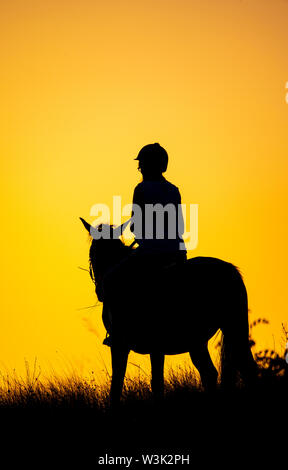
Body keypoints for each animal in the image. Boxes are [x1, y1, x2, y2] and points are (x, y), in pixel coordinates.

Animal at [80, 218, 255, 404]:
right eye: (93, 254)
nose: (100, 291)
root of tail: (230, 269)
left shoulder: (133, 345)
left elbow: (134, 384)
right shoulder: (142, 347)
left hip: (232, 328)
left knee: (244, 368)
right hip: (202, 339)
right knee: (213, 373)